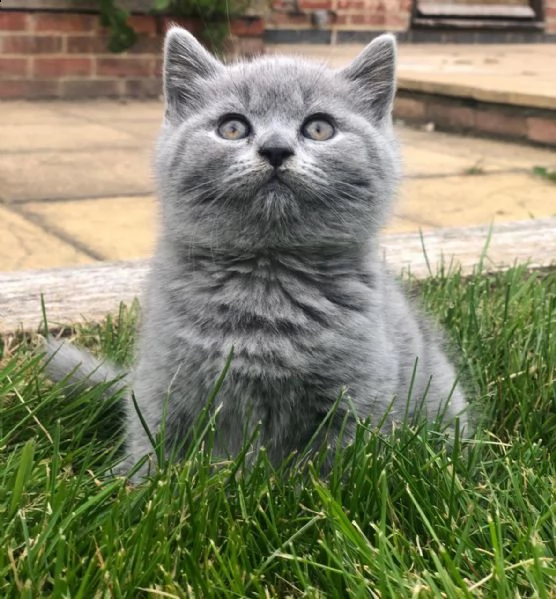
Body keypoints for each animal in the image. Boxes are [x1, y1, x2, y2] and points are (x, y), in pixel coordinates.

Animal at [44, 28, 470, 480]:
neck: (267, 279)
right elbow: (152, 441)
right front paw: (135, 485)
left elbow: (341, 468)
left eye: (319, 128)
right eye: (232, 127)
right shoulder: (162, 380)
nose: (276, 149)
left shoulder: (359, 394)